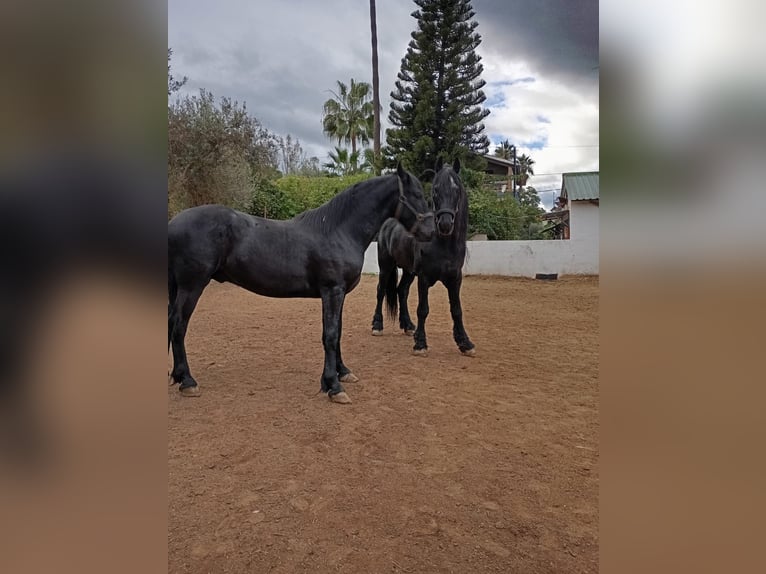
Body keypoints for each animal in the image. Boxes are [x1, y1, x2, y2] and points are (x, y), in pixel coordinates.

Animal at [168, 163, 435, 404]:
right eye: (417, 195)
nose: (432, 232)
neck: (338, 230)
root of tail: (173, 223)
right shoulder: (332, 291)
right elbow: (330, 335)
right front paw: (333, 386)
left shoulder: (339, 294)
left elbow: (337, 333)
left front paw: (343, 372)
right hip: (192, 286)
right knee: (179, 326)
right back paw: (188, 382)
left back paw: (178, 376)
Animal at [371, 158, 475, 357]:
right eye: (435, 190)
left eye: (457, 190)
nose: (445, 224)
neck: (442, 244)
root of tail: (388, 223)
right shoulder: (424, 278)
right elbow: (423, 309)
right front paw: (420, 344)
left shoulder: (455, 279)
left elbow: (456, 310)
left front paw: (465, 343)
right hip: (386, 266)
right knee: (381, 290)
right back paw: (377, 325)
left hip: (408, 271)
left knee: (401, 291)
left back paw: (407, 325)